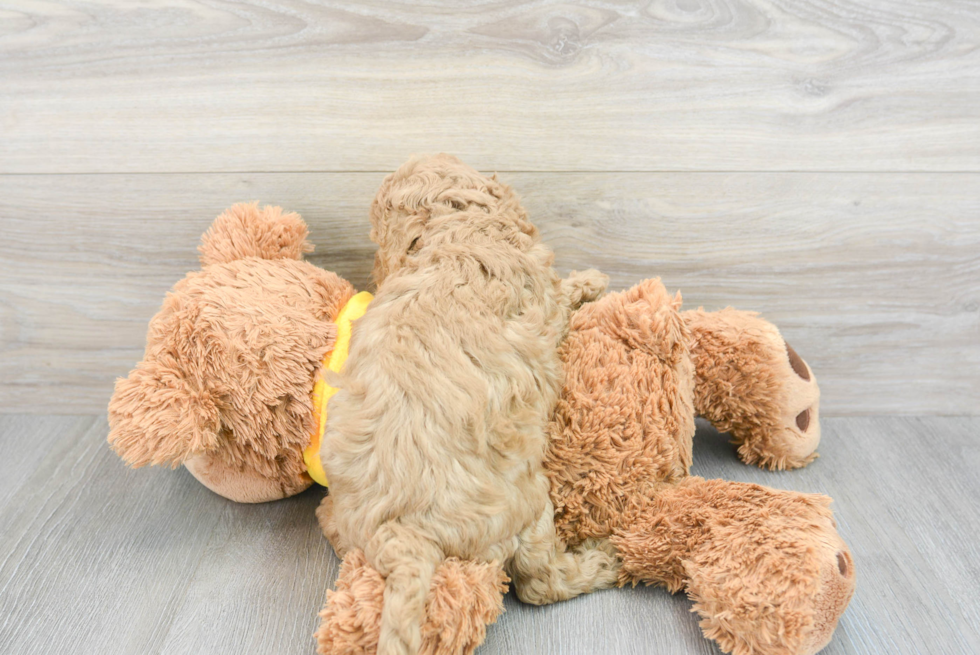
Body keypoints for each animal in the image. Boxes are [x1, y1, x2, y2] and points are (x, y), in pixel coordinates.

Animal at [322, 155, 616, 655]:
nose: (376, 271)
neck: (455, 231)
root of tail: (401, 534)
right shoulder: (546, 306)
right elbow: (563, 297)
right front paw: (591, 281)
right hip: (525, 502)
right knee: (540, 581)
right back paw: (604, 561)